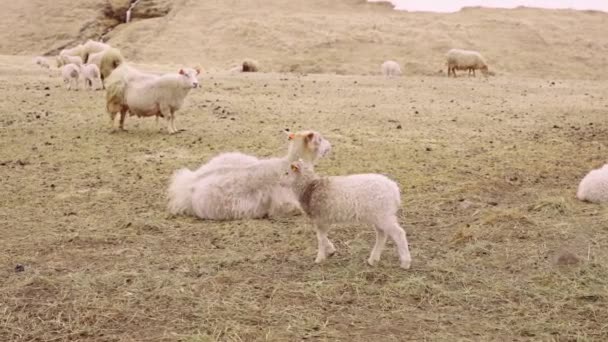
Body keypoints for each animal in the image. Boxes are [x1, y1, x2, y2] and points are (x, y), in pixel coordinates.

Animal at [282, 159, 414, 268]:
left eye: (287, 173)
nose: (280, 182)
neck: (310, 187)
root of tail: (395, 190)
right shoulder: (324, 219)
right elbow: (322, 236)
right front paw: (330, 251)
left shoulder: (321, 218)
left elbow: (320, 238)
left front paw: (319, 258)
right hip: (379, 215)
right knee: (382, 235)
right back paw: (373, 259)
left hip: (383, 215)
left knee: (399, 233)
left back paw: (405, 262)